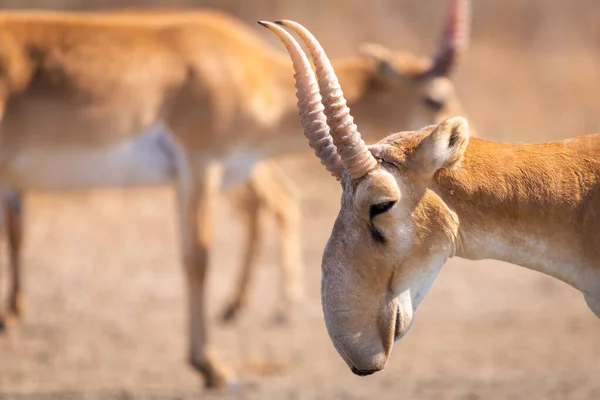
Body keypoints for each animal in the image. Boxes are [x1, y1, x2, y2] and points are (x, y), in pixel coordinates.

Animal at [0, 0, 468, 388]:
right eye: (434, 97)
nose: (462, 154)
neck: (246, 70)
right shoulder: (200, 163)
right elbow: (198, 258)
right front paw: (212, 367)